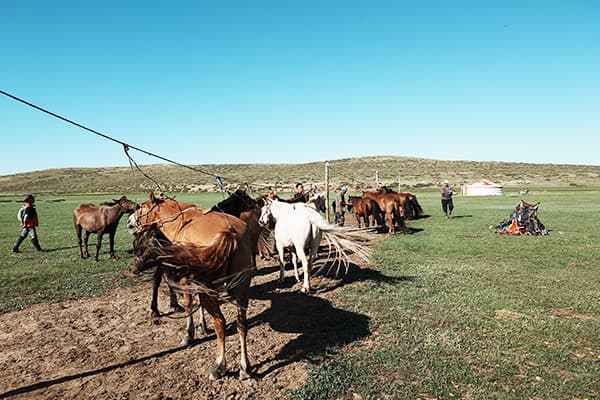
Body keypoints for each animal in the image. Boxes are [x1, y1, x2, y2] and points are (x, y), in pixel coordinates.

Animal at [127, 192, 254, 380]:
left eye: (142, 207)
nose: (129, 223)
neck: (181, 224)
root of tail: (229, 233)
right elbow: (199, 306)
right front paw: (202, 327)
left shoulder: (185, 282)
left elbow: (188, 305)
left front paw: (189, 334)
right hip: (242, 289)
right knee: (241, 324)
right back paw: (244, 367)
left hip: (212, 291)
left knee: (221, 323)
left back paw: (219, 366)